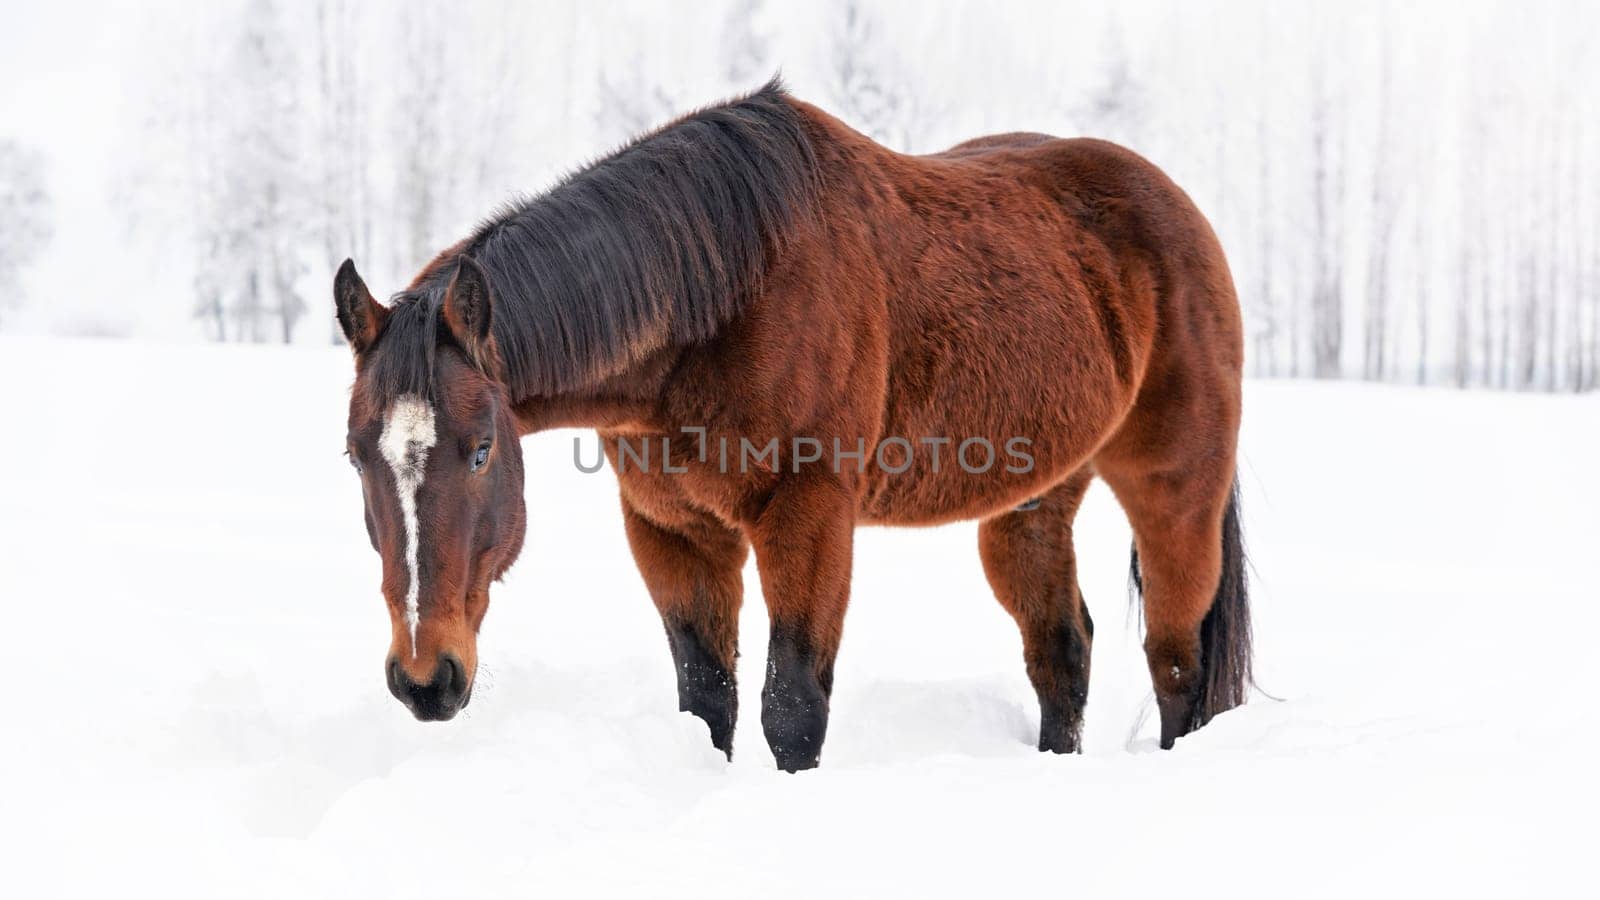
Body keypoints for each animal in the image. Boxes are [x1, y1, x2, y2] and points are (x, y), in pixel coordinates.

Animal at [334, 76, 1248, 768]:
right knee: (1062, 653)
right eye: (354, 458)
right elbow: (708, 703)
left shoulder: (807, 518)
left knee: (1177, 660)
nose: (426, 678)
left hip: (1174, 491)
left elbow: (792, 708)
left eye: (482, 450)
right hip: (1033, 503)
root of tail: (1180, 212)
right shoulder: (672, 531)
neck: (724, 294)